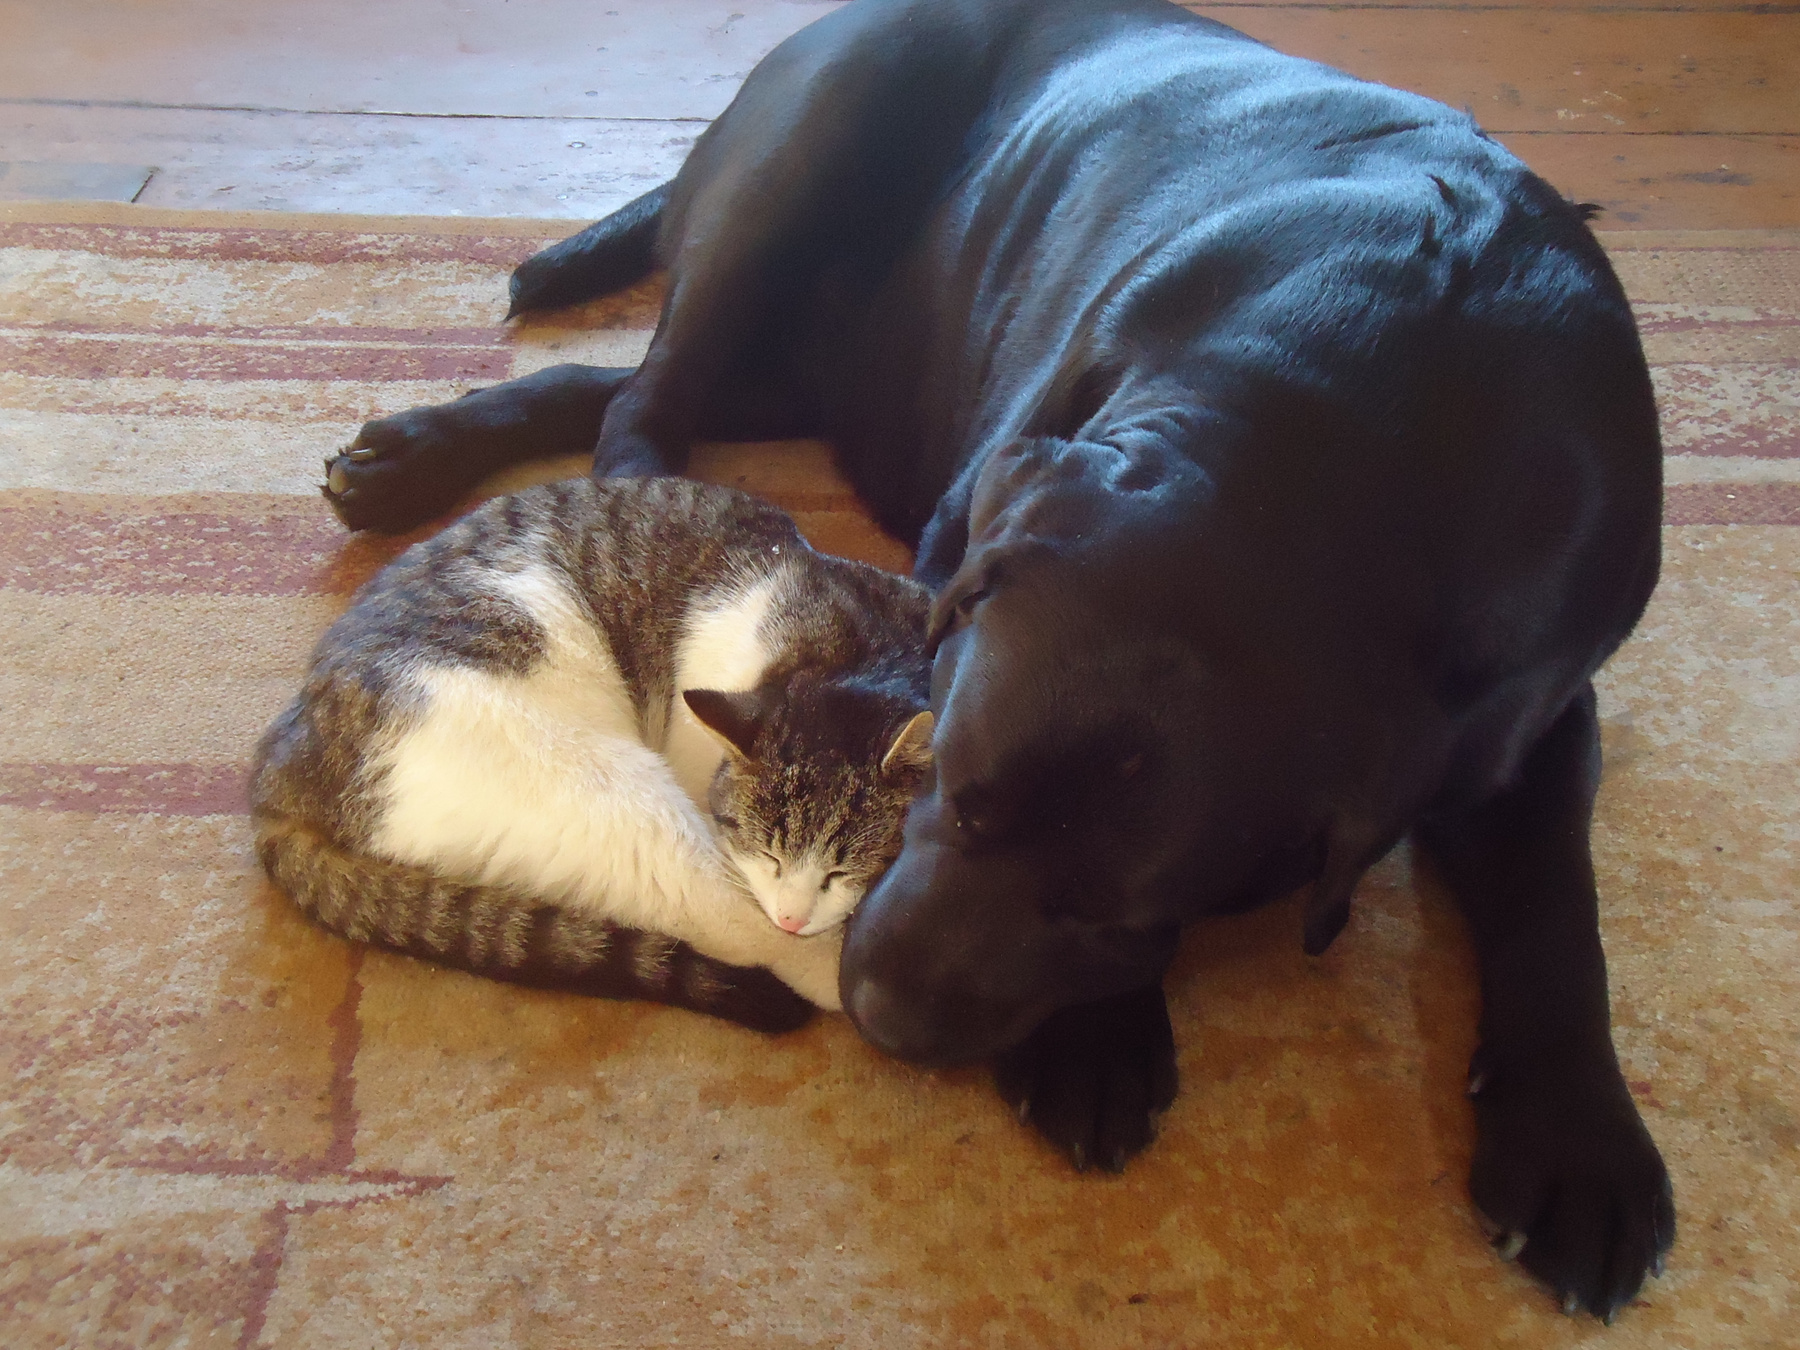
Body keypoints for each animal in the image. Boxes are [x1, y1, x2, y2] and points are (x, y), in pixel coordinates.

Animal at [251, 476, 934, 1033]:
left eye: (849, 865)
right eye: (772, 852)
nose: (797, 912)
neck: (862, 650)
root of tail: (275, 776)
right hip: (611, 793)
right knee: (733, 921)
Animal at [321, 0, 1673, 1320]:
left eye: (1124, 910)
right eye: (954, 797)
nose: (883, 1018)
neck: (1356, 438)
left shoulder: (1540, 714)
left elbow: (1559, 897)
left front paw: (1581, 1141)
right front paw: (1098, 1044)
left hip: (819, 368)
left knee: (609, 383)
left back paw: (427, 452)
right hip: (808, 156)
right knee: (646, 400)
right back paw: (473, 465)